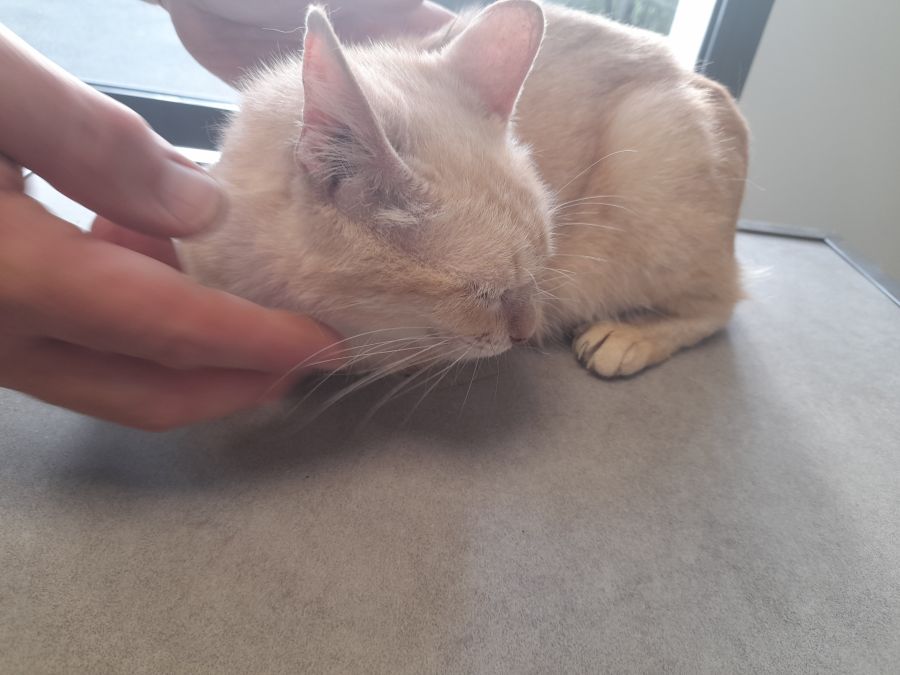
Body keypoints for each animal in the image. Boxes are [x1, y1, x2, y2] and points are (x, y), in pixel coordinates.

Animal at [179, 0, 748, 380]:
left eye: (541, 269)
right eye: (481, 294)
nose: (526, 333)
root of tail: (701, 83)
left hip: (653, 171)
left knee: (721, 303)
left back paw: (629, 336)